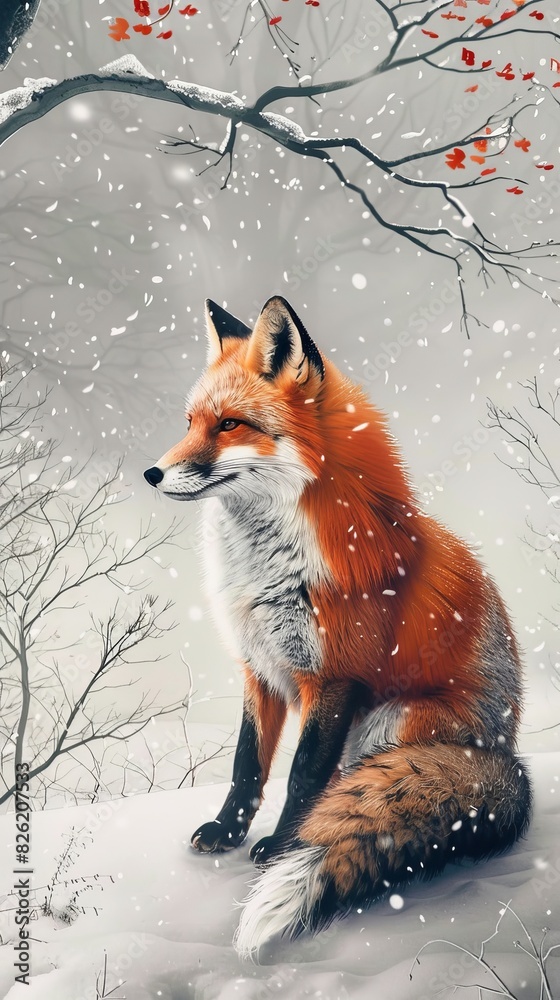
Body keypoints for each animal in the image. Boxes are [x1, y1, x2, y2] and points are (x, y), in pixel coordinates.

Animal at [144, 295, 531, 960]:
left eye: (229, 425)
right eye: (191, 422)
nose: (153, 473)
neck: (267, 568)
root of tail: (502, 753)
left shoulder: (334, 674)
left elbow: (303, 774)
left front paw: (281, 846)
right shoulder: (259, 667)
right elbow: (247, 764)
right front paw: (226, 832)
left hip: (390, 722)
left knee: (355, 783)